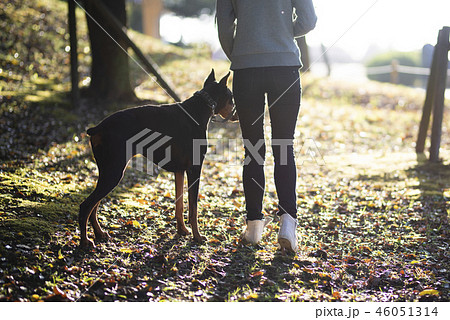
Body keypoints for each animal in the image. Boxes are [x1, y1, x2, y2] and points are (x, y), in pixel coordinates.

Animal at [79, 70, 237, 248]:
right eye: (231, 97)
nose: (237, 115)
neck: (200, 108)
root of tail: (97, 128)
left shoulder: (179, 171)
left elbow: (179, 205)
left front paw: (182, 230)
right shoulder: (194, 169)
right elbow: (193, 208)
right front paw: (197, 236)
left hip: (107, 170)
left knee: (94, 205)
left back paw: (99, 233)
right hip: (114, 171)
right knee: (86, 206)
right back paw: (85, 241)